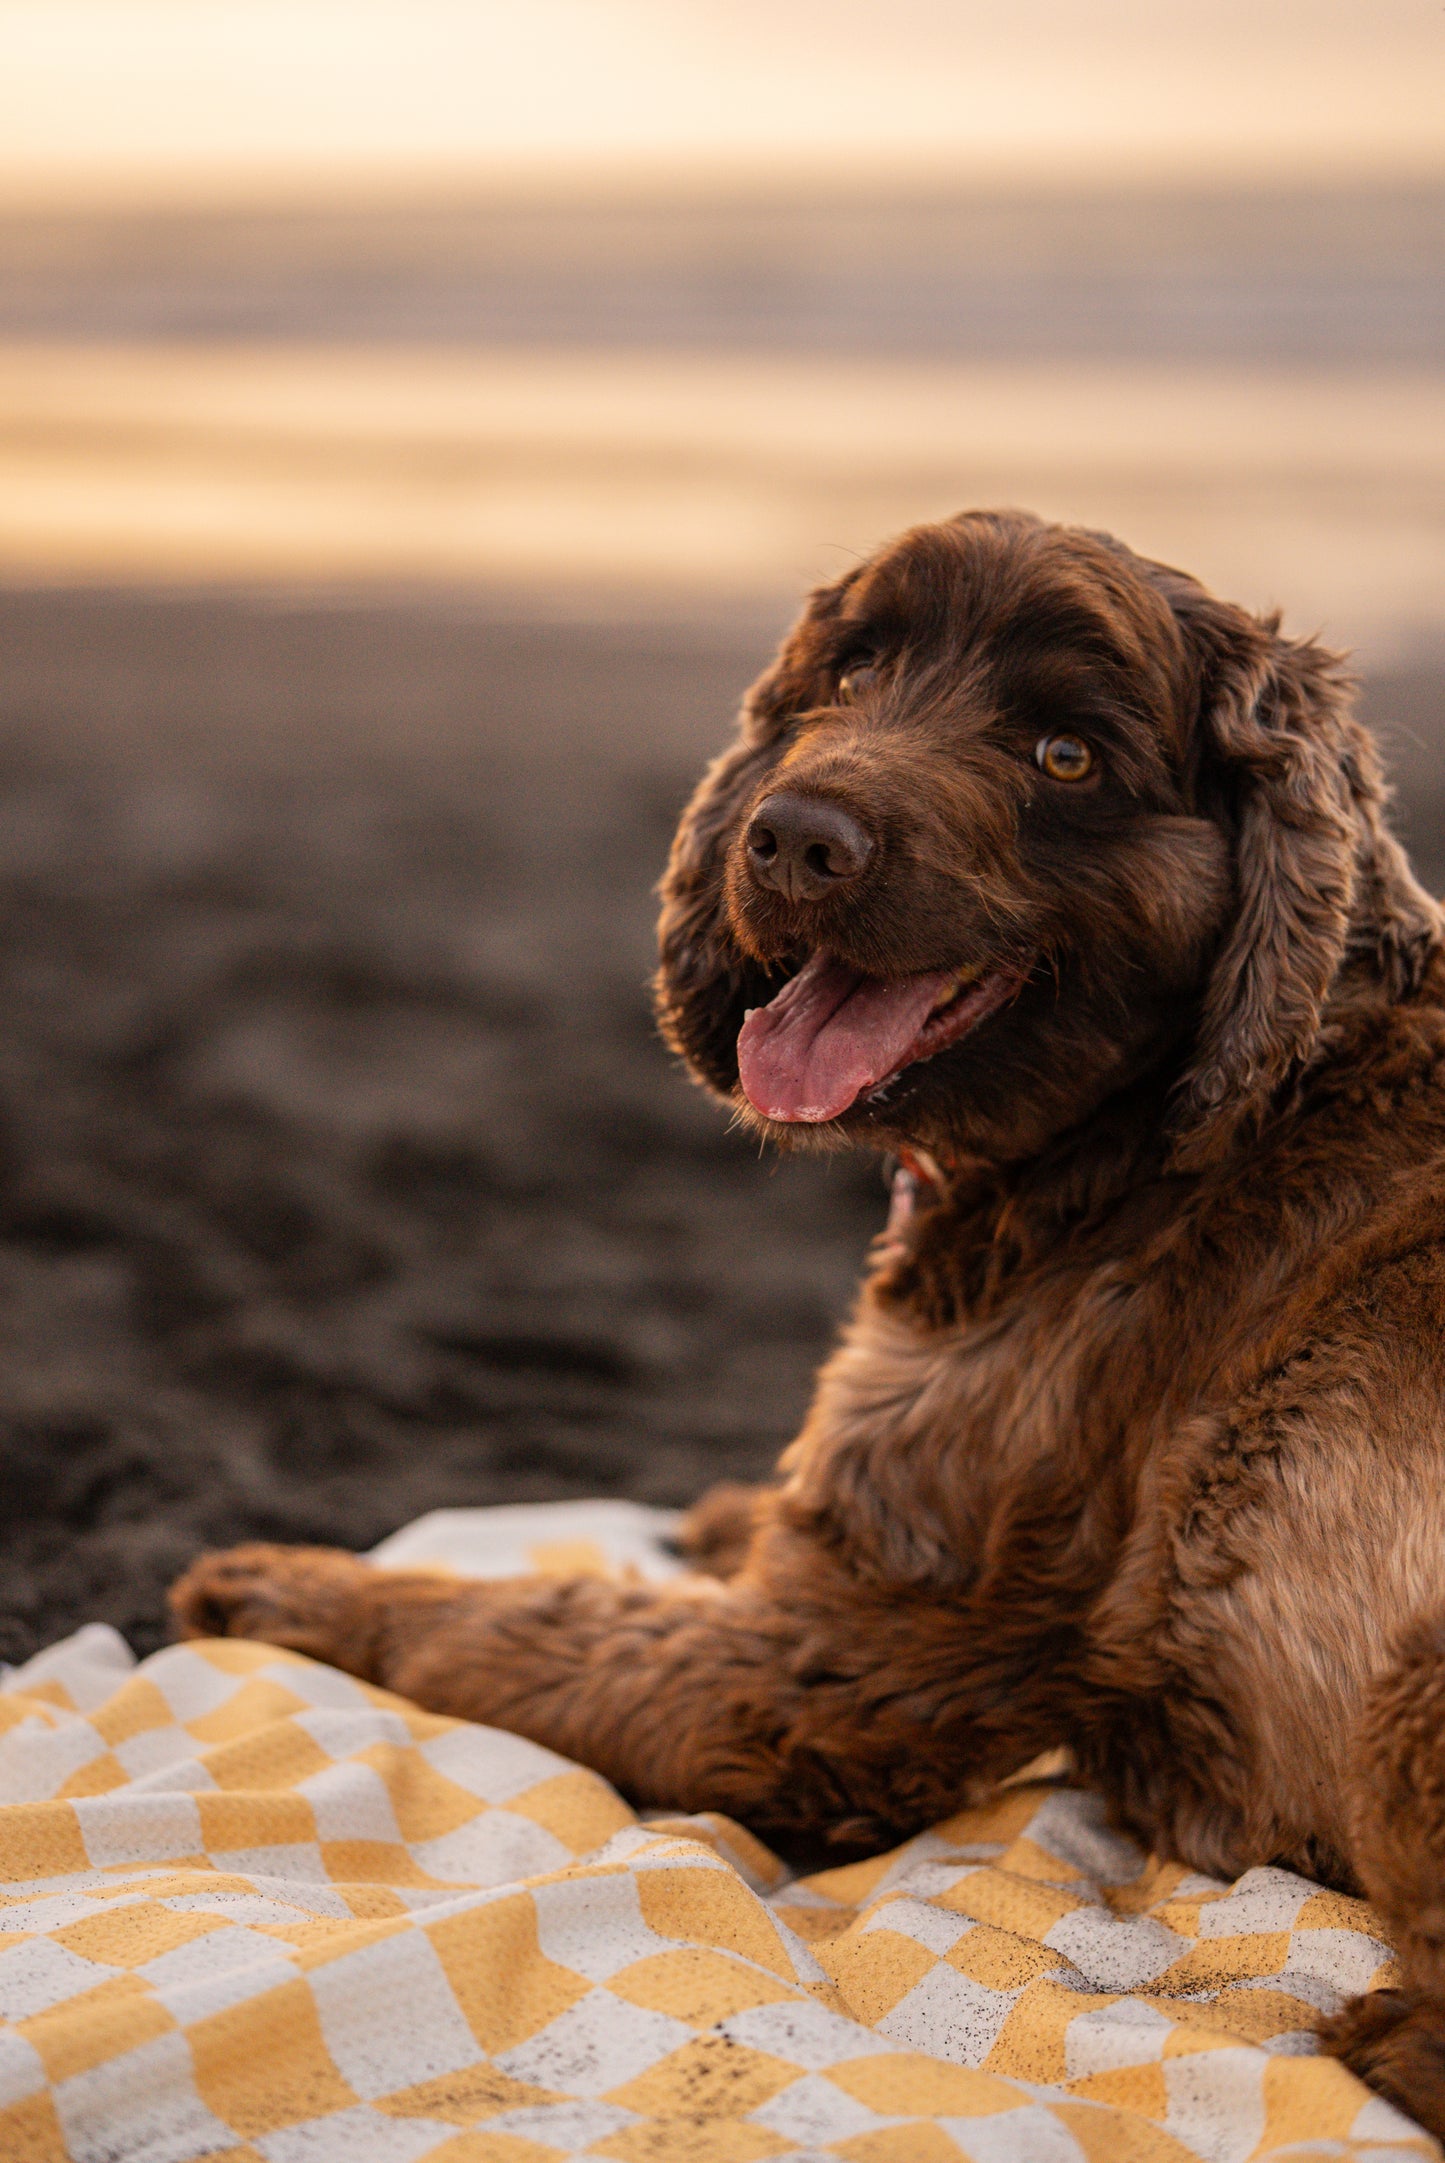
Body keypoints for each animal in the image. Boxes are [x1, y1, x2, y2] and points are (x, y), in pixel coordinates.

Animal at [171, 514, 1445, 2137]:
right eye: (847, 675)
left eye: (1064, 752)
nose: (790, 836)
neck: (1146, 1148)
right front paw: (715, 1515)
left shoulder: (836, 1663)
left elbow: (519, 1626)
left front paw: (279, 1583)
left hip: (1408, 1697)